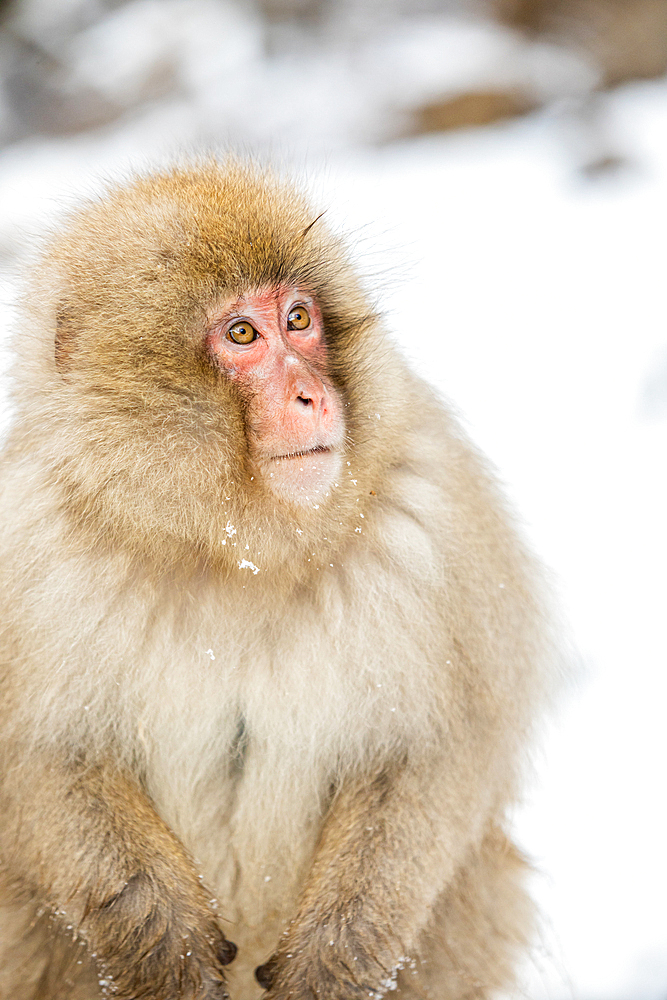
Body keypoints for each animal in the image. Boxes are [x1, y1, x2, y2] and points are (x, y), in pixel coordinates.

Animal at [0, 164, 556, 1000]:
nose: (311, 396)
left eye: (299, 319)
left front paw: (333, 960)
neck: (234, 554)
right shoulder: (31, 547)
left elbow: (436, 754)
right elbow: (39, 760)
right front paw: (165, 952)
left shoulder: (430, 523)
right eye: (241, 335)